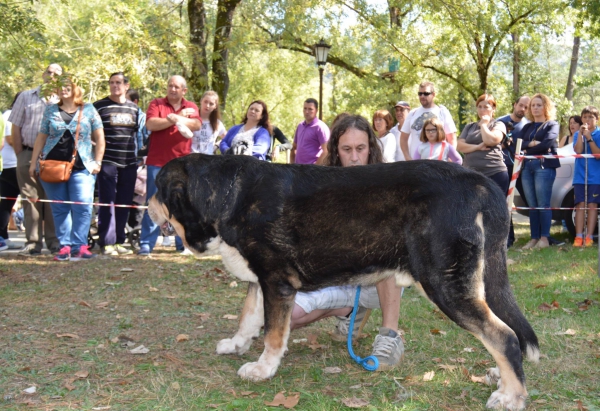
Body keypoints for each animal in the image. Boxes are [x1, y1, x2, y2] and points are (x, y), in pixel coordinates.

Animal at [149, 154, 540, 408]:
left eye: (156, 187)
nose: (147, 204)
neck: (230, 194)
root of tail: (479, 183)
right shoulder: (262, 280)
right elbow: (248, 317)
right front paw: (236, 344)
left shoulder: (277, 281)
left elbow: (273, 333)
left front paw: (263, 368)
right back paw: (500, 377)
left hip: (445, 285)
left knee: (503, 336)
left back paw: (511, 396)